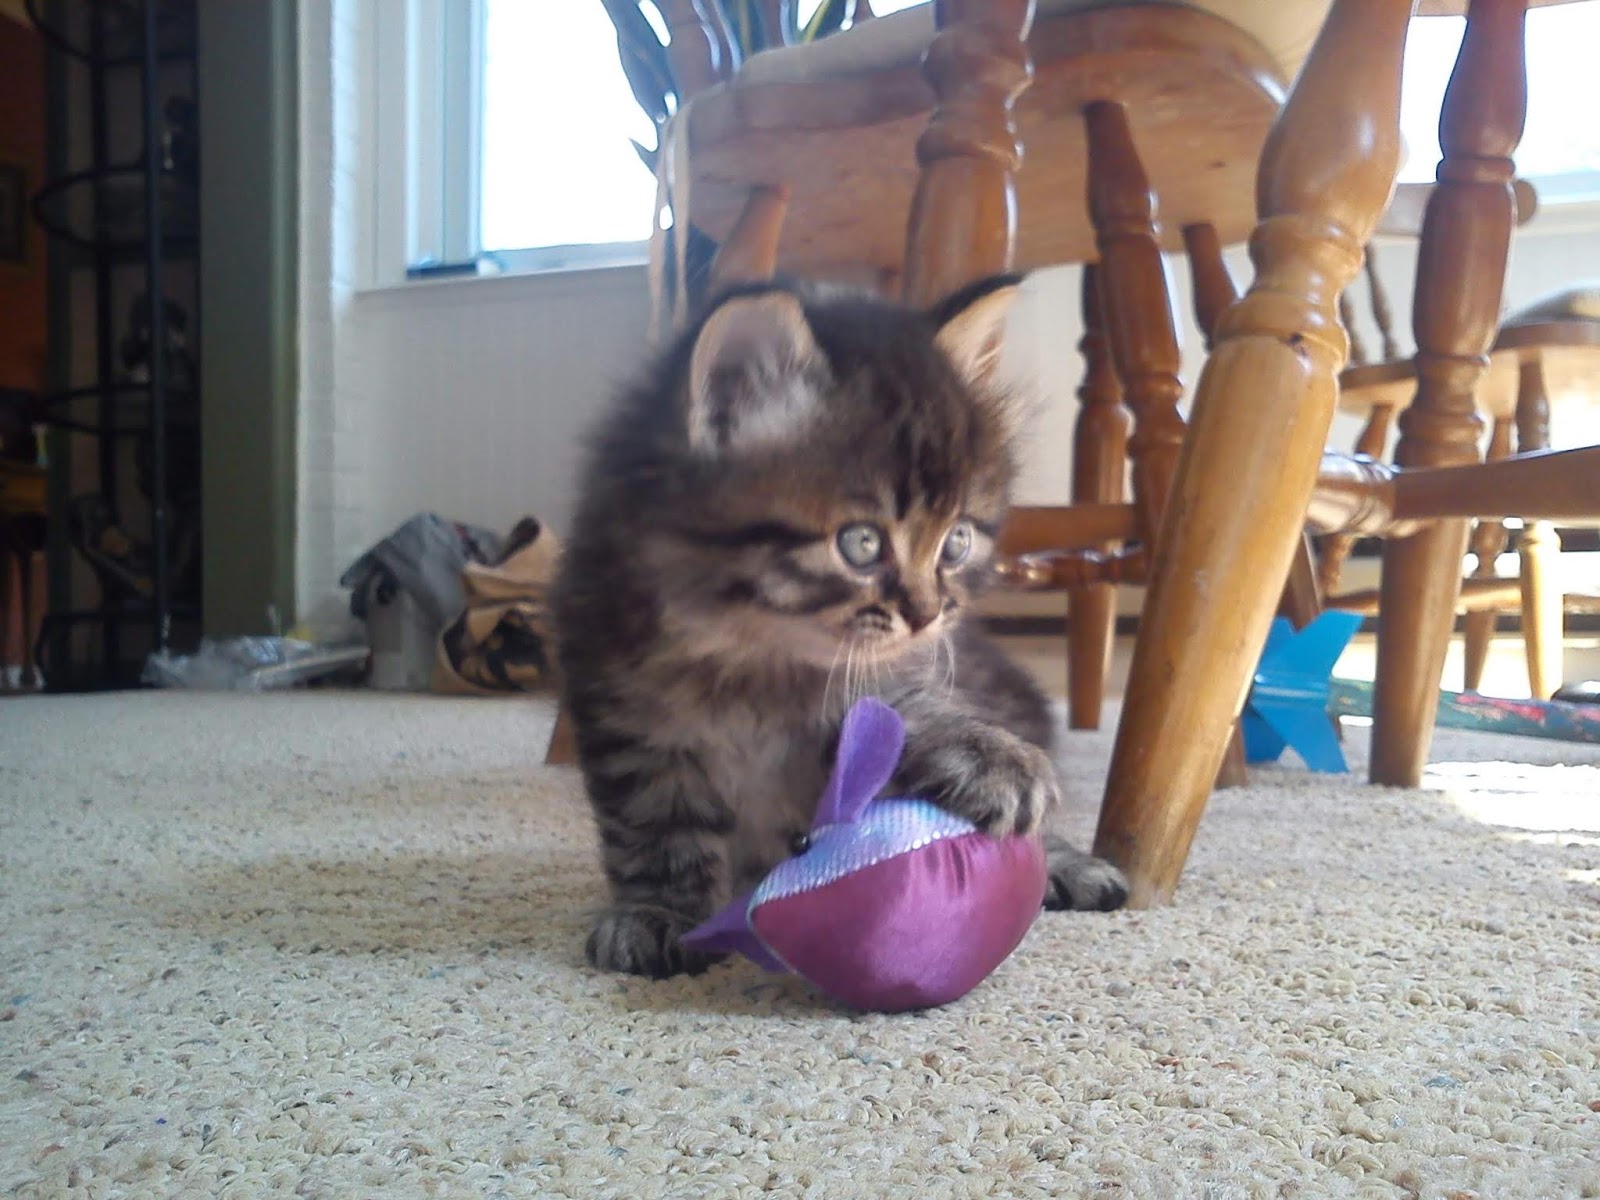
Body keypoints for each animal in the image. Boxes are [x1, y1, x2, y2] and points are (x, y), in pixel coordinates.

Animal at [553, 278, 1128, 979]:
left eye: (956, 542)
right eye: (861, 543)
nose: (927, 614)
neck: (752, 660)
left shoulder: (885, 684)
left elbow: (908, 715)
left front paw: (991, 757)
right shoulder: (628, 722)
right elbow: (653, 829)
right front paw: (658, 914)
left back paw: (1069, 864)